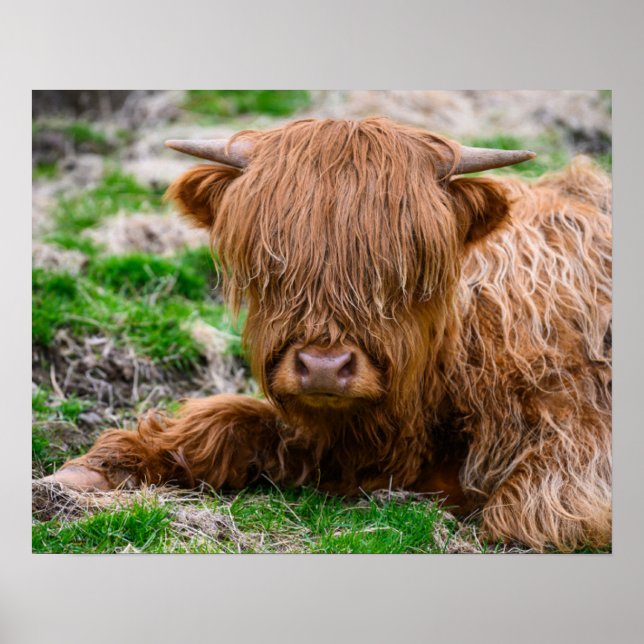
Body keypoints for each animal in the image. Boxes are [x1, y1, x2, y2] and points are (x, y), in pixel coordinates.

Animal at [45, 117, 612, 552]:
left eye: (403, 271)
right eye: (272, 266)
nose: (322, 368)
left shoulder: (575, 448)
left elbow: (529, 514)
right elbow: (225, 419)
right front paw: (95, 471)